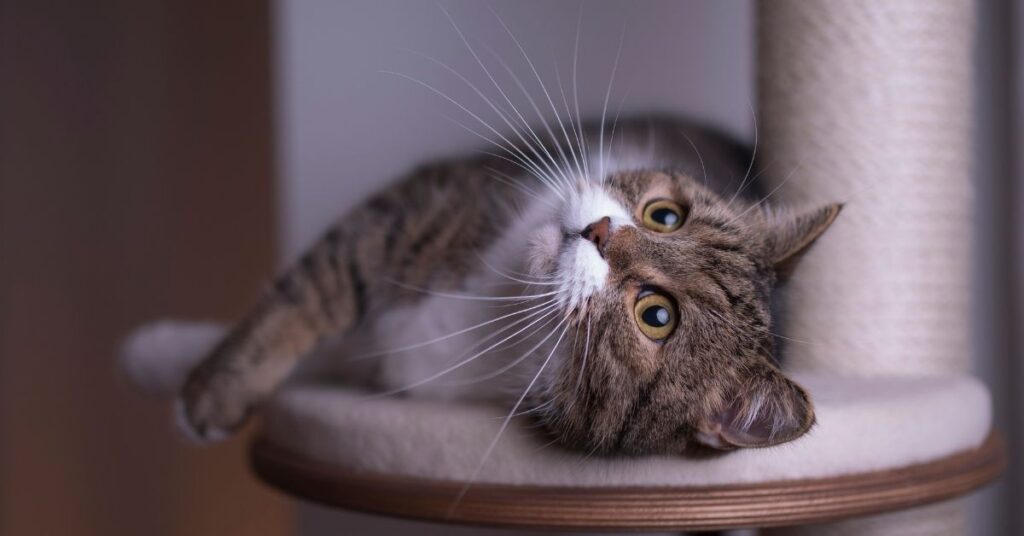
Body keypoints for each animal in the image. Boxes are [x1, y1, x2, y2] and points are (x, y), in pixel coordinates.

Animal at [128, 115, 839, 455]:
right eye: (666, 214)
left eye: (656, 317)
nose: (599, 231)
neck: (499, 307)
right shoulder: (428, 203)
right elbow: (308, 294)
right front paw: (180, 366)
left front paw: (199, 391)